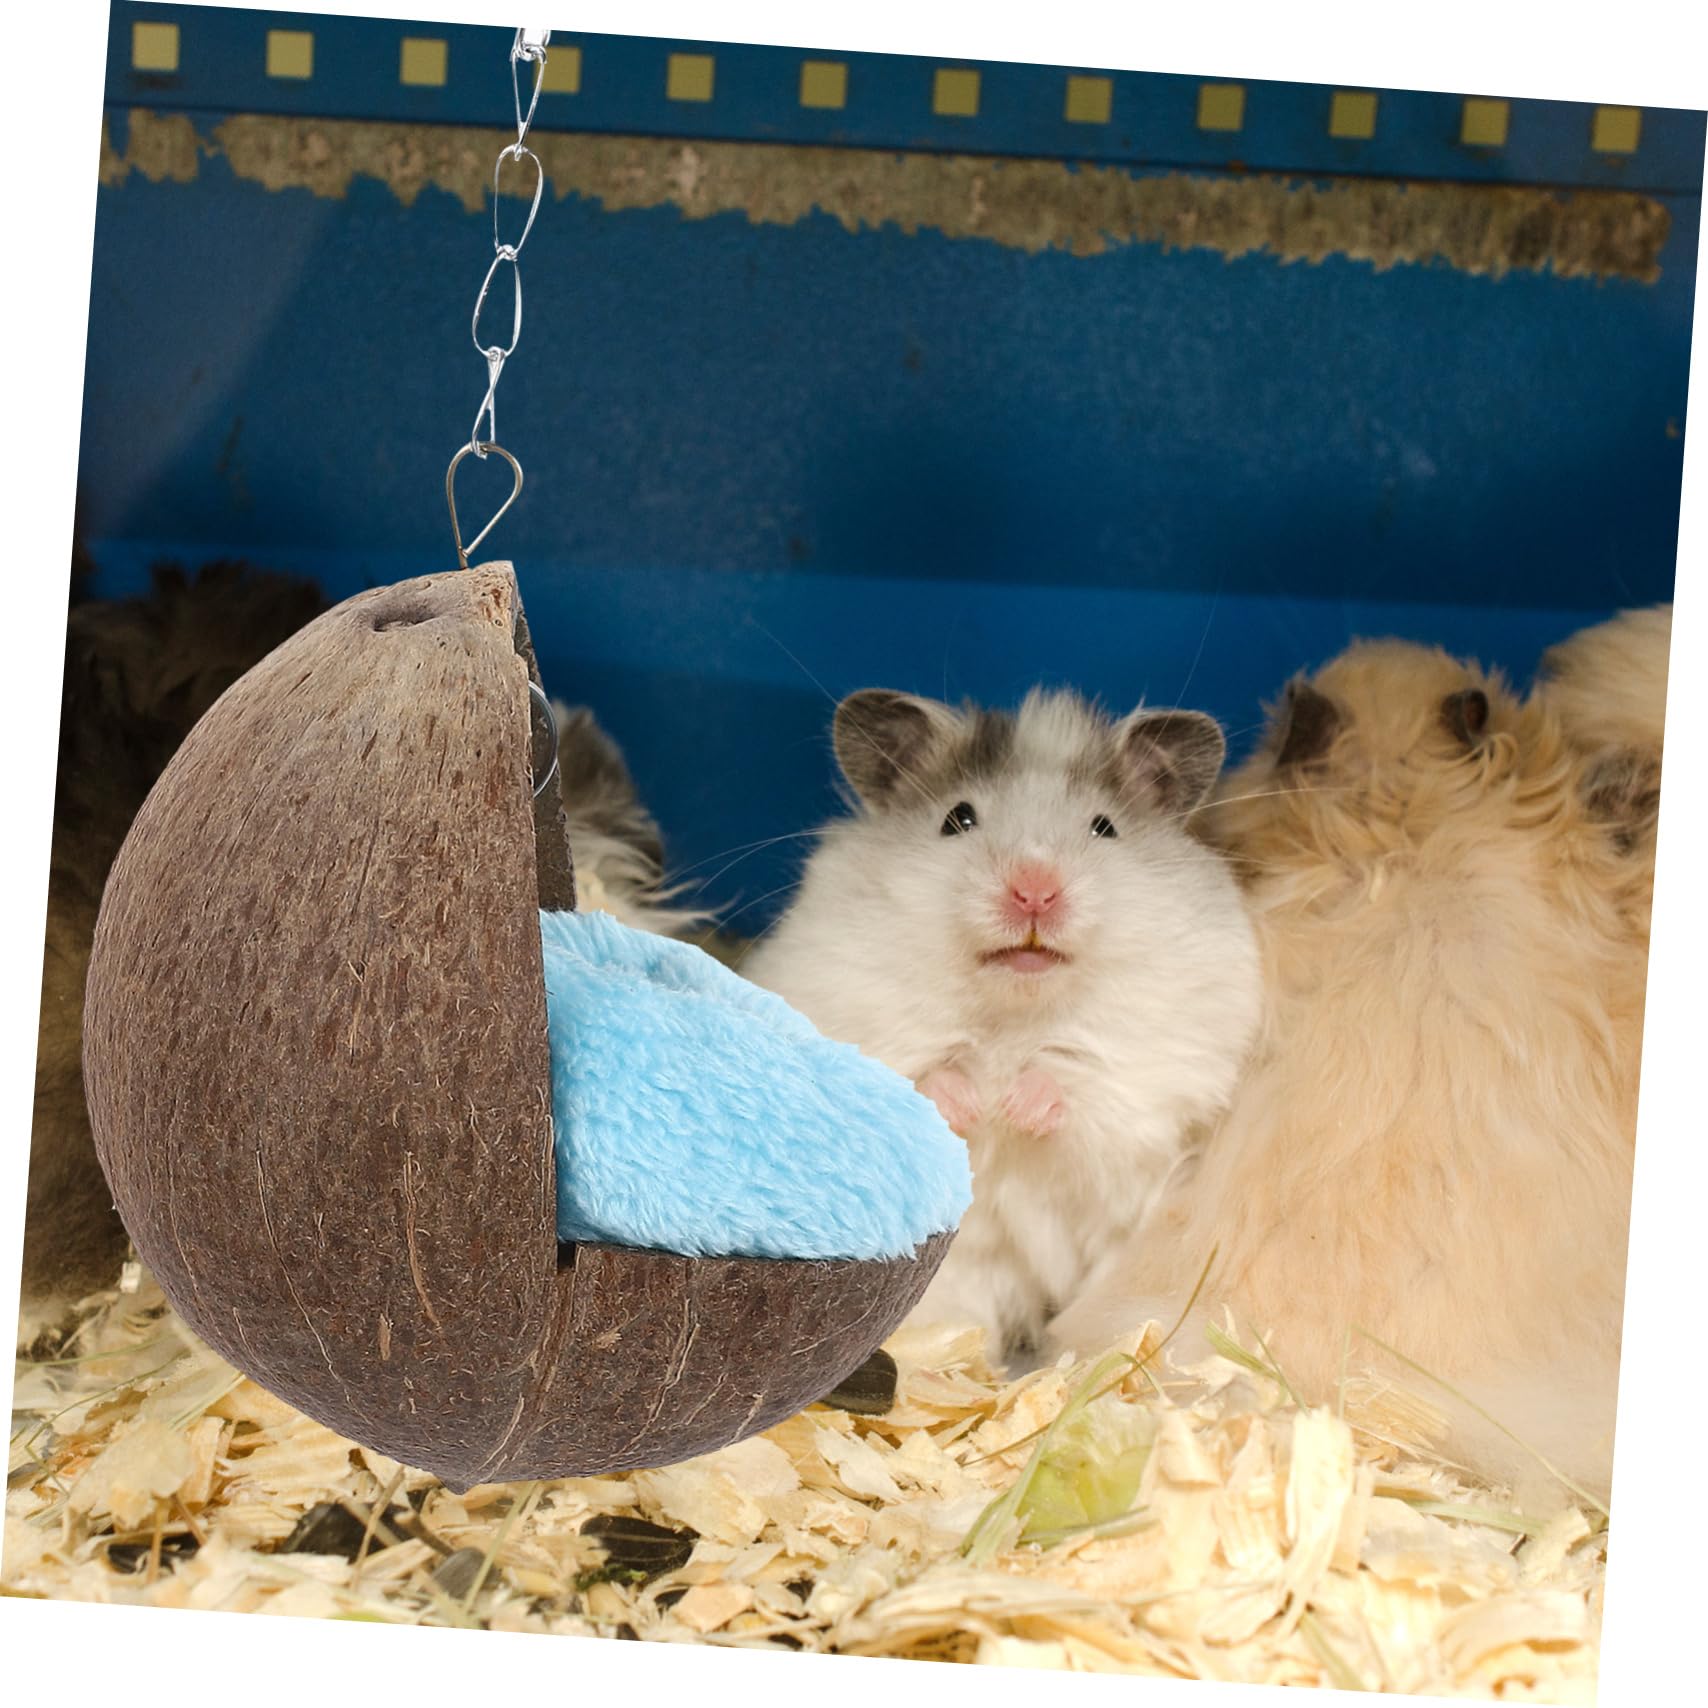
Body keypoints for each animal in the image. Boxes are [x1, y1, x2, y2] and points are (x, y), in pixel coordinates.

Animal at [743, 686, 1262, 1367]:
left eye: (1104, 826)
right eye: (958, 819)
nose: (1034, 891)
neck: (1015, 1010)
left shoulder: (1156, 1066)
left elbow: (1080, 1081)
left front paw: (1014, 1107)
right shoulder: (848, 1003)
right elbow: (921, 1075)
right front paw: (970, 1107)